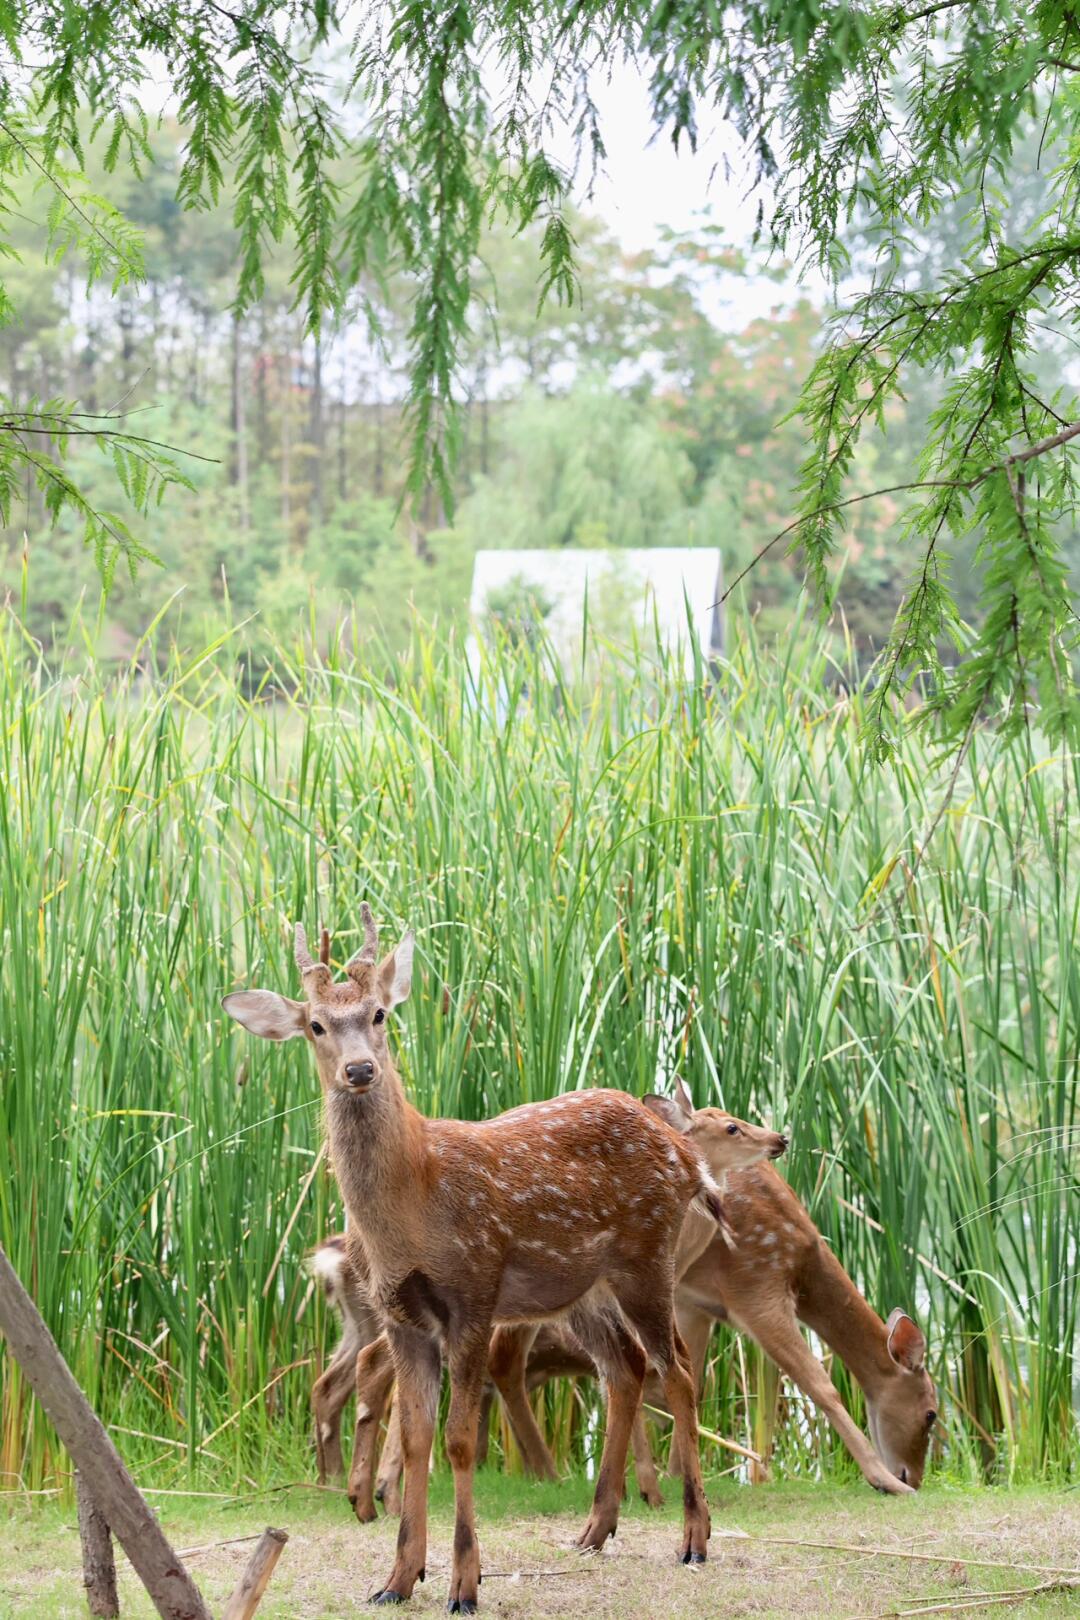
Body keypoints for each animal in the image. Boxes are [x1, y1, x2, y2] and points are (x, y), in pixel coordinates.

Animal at [228, 907, 731, 1613]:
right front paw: (397, 1579)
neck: (416, 1197)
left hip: (646, 1258)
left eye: (379, 1013)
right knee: (626, 1368)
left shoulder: (473, 1292)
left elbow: (459, 1441)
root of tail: (686, 1157)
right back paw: (594, 1530)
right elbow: (414, 1439)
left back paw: (694, 1538)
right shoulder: (403, 1316)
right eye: (317, 1024)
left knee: (680, 1371)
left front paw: (465, 1585)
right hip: (583, 1289)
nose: (359, 1070)